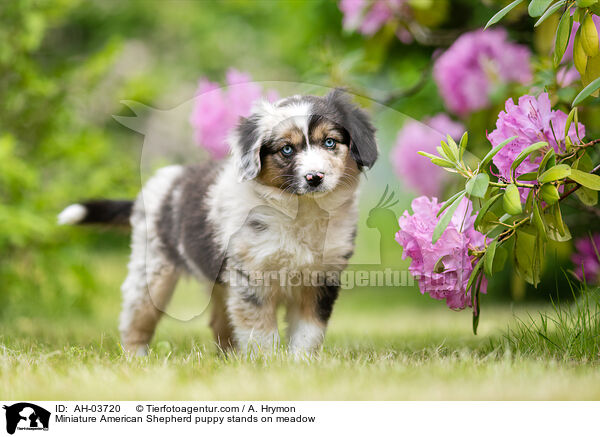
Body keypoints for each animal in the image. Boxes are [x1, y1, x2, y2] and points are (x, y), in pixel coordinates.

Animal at [58, 87, 378, 354]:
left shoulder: (320, 280)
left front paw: (300, 365)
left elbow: (308, 333)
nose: (314, 177)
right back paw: (135, 358)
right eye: (287, 149)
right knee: (136, 317)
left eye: (330, 142)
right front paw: (270, 365)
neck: (301, 211)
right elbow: (261, 333)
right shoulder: (251, 279)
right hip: (153, 271)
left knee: (219, 323)